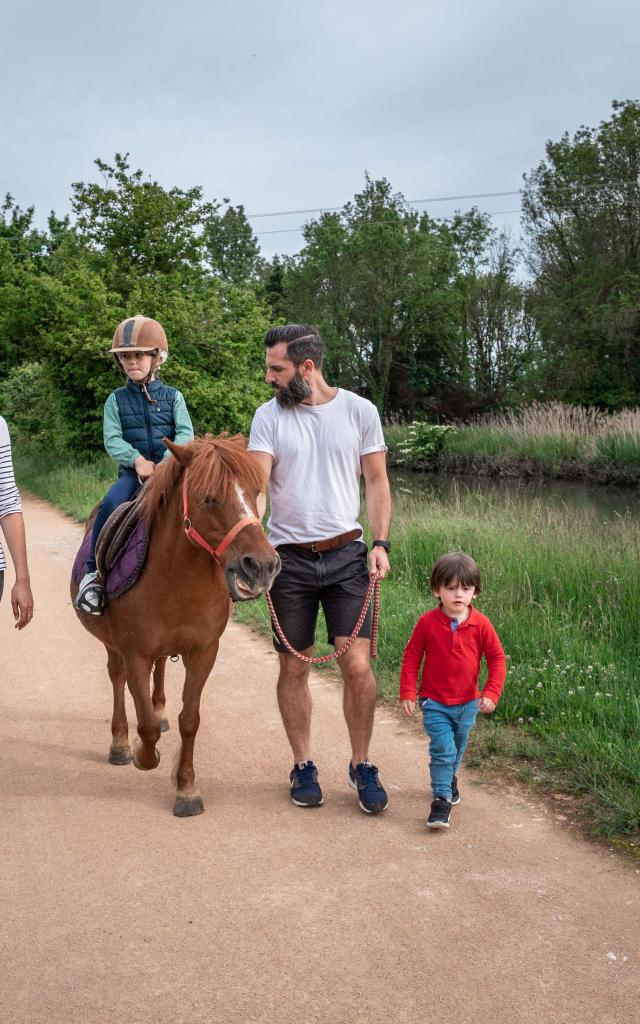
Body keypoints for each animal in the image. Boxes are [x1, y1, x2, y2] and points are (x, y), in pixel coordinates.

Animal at [70, 432, 278, 815]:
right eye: (210, 498)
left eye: (256, 491)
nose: (263, 565)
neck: (179, 580)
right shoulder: (134, 653)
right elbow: (146, 726)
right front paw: (142, 755)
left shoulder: (204, 653)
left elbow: (189, 720)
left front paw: (187, 789)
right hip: (113, 647)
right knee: (117, 680)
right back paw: (120, 743)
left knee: (161, 669)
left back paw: (159, 708)